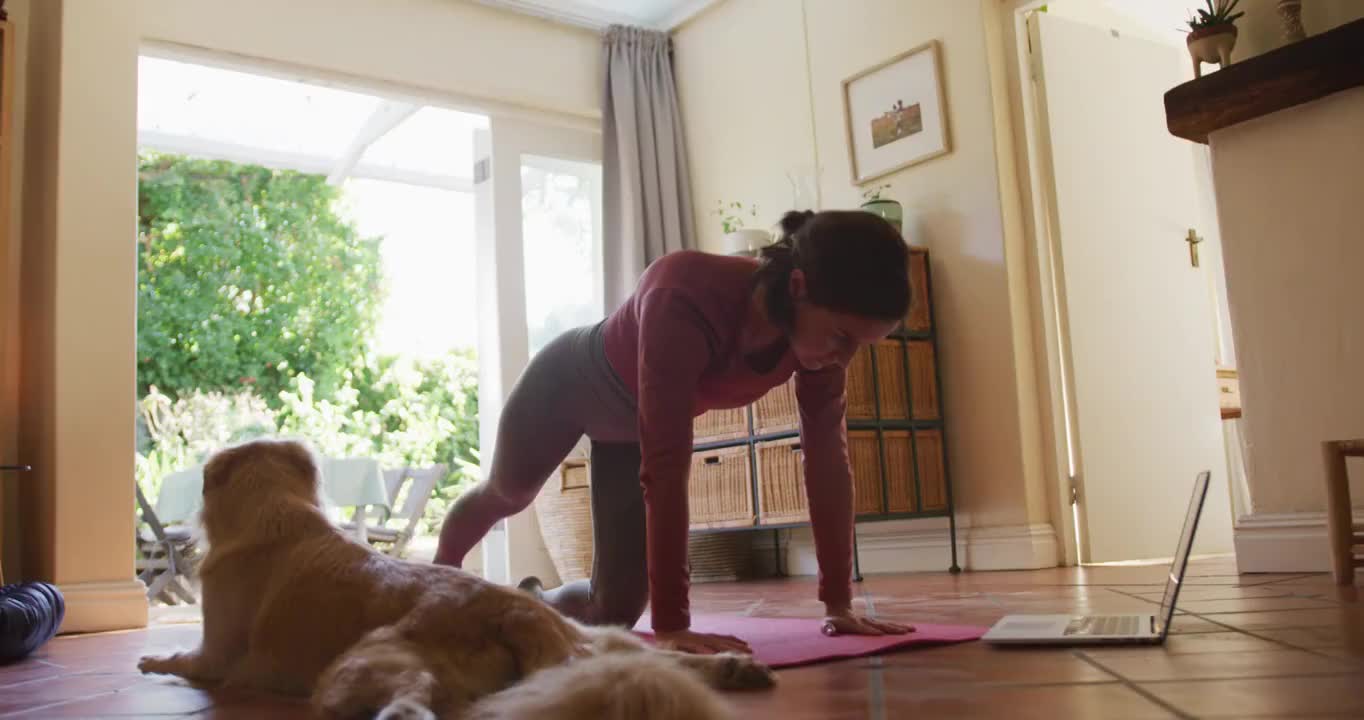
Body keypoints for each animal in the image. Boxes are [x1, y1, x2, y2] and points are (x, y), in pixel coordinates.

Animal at [141, 439, 780, 720]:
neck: (276, 512)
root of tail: (511, 610)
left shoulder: (215, 653)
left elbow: (182, 659)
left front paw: (150, 661)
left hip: (359, 664)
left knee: (417, 697)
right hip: (599, 640)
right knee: (663, 658)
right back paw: (733, 667)